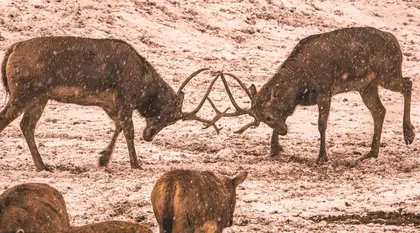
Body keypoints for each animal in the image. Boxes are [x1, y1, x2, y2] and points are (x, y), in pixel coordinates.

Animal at [0, 36, 221, 171]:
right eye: (171, 116)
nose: (149, 136)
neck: (143, 85)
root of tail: (11, 50)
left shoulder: (108, 103)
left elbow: (118, 126)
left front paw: (103, 159)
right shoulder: (125, 98)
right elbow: (128, 130)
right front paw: (136, 163)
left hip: (40, 97)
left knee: (27, 125)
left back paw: (42, 165)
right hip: (24, 92)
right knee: (7, 118)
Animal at [205, 27, 416, 165]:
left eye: (268, 117)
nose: (284, 131)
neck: (299, 87)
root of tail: (395, 41)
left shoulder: (325, 91)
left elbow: (322, 125)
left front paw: (321, 157)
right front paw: (274, 149)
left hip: (387, 73)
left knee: (408, 83)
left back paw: (409, 134)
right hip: (367, 86)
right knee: (379, 111)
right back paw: (370, 153)